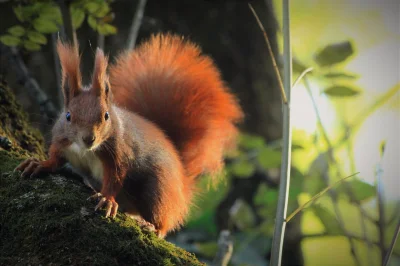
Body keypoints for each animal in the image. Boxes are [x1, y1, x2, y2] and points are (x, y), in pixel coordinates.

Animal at [14, 32, 244, 237]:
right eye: (68, 116)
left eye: (106, 116)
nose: (89, 139)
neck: (85, 151)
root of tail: (182, 180)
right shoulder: (62, 142)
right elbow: (55, 158)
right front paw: (39, 164)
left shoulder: (119, 153)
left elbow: (115, 177)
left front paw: (106, 199)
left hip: (158, 190)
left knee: (163, 219)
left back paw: (153, 227)